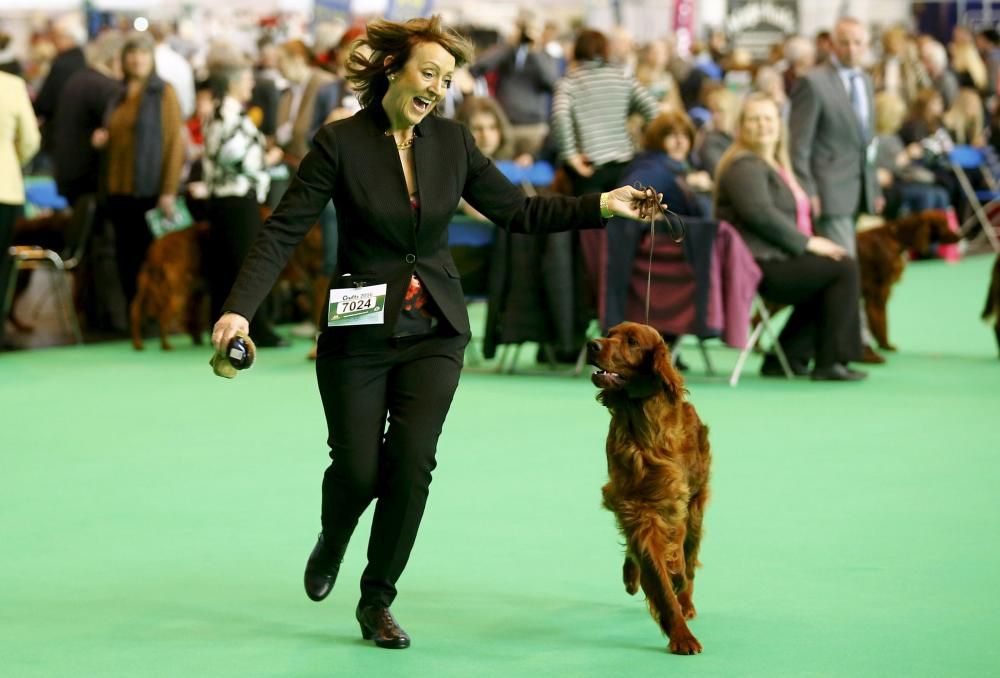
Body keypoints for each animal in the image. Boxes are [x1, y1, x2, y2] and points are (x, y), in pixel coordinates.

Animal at [584, 324, 712, 660]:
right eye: (608, 333)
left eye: (632, 342)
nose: (592, 344)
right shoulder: (633, 508)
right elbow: (656, 575)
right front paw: (681, 636)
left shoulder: (671, 504)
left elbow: (674, 562)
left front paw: (681, 618)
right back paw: (633, 577)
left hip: (695, 509)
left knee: (689, 558)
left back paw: (687, 600)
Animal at [852, 211, 960, 350]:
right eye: (944, 224)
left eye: (947, 222)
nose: (960, 236)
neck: (894, 237)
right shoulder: (879, 292)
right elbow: (881, 320)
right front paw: (885, 345)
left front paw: (884, 344)